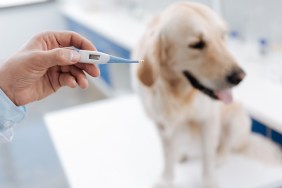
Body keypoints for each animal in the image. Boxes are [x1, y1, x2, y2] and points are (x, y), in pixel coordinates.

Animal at [132, 1, 282, 188]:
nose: (240, 77)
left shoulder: (208, 120)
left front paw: (209, 181)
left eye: (222, 36)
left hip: (237, 117)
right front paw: (166, 180)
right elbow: (167, 157)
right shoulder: (161, 125)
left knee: (225, 146)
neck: (178, 93)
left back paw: (220, 157)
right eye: (197, 44)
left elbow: (207, 158)